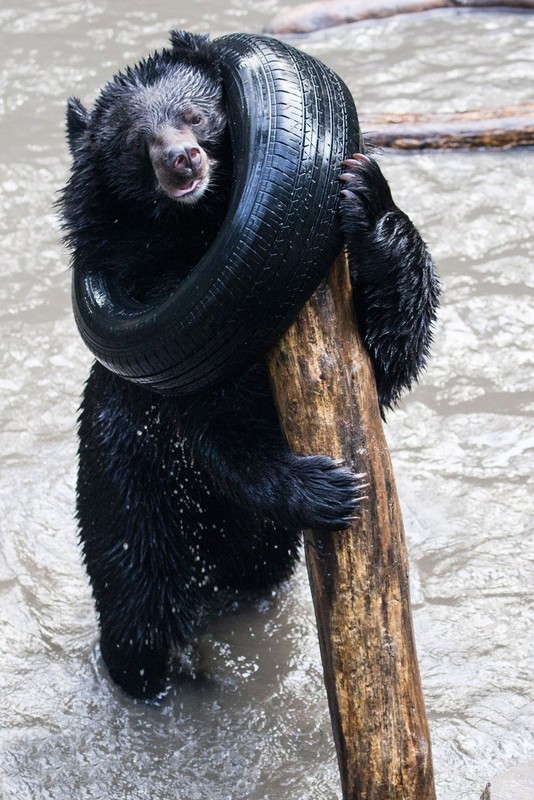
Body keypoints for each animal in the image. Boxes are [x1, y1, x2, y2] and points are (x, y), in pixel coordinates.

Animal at [60, 31, 442, 696]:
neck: (193, 233)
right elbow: (217, 430)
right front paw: (328, 488)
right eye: (135, 142)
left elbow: (390, 348)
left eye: (194, 116)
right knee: (137, 608)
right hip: (123, 496)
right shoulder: (172, 369)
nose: (182, 161)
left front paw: (366, 194)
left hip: (252, 557)